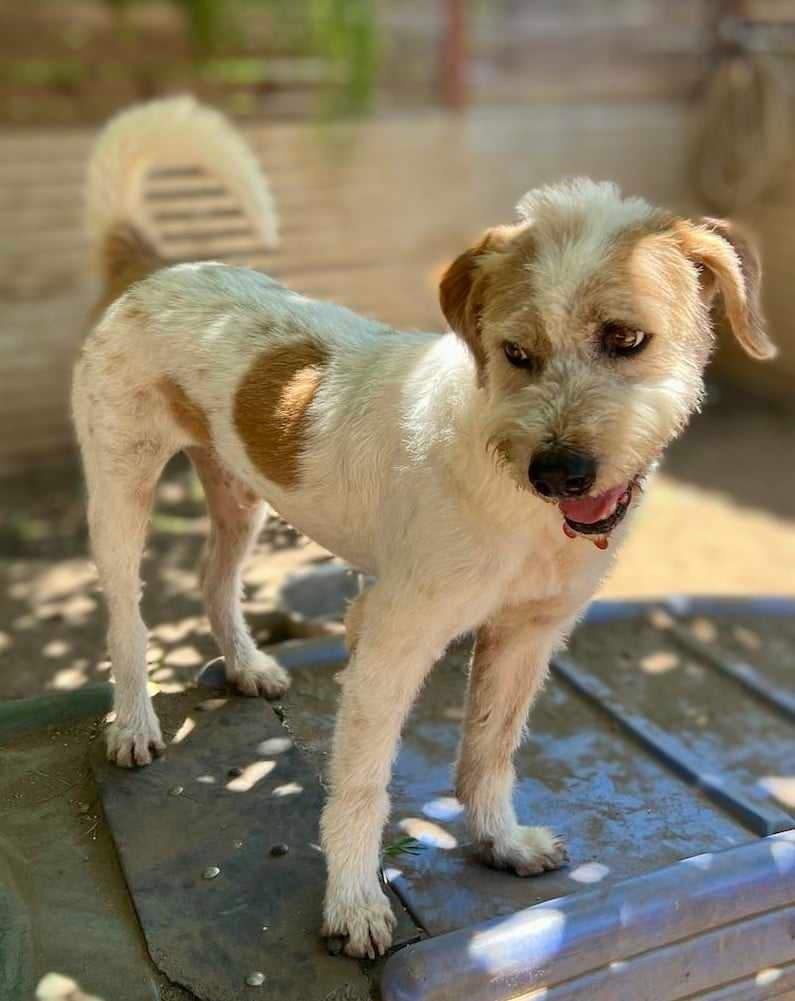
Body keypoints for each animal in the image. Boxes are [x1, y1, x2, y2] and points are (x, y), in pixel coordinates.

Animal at [71, 97, 772, 956]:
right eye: (515, 352)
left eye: (625, 338)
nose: (558, 471)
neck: (510, 492)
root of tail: (158, 267)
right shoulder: (388, 634)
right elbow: (362, 783)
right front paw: (352, 901)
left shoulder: (526, 633)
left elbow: (490, 747)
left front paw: (498, 840)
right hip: (120, 487)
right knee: (127, 619)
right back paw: (134, 722)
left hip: (239, 490)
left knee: (213, 580)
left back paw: (246, 665)